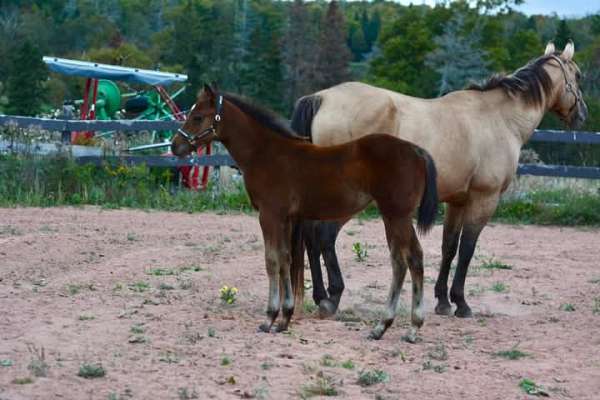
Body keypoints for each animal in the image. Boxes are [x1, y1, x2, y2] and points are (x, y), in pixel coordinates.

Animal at [171, 85, 438, 340]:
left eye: (197, 117)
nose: (175, 146)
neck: (265, 153)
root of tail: (417, 151)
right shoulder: (286, 218)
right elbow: (286, 259)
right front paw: (285, 318)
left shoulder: (269, 215)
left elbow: (272, 260)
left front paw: (270, 318)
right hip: (393, 216)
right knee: (402, 261)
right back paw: (385, 328)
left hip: (397, 215)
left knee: (411, 259)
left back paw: (407, 327)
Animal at [290, 41, 584, 318]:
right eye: (578, 75)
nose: (582, 115)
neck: (499, 118)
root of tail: (321, 98)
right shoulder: (484, 199)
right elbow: (467, 249)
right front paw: (462, 303)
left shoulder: (457, 201)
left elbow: (449, 247)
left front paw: (443, 300)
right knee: (324, 236)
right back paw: (332, 297)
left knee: (311, 237)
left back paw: (319, 295)